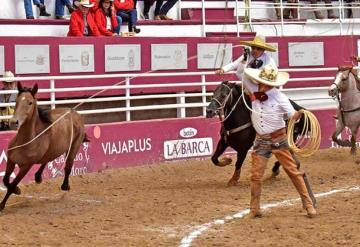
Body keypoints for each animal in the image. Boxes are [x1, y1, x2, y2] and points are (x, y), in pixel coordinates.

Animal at [0, 82, 89, 210]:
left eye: (30, 102)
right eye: (16, 101)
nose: (14, 122)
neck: (26, 141)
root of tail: (74, 113)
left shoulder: (26, 166)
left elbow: (12, 184)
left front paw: (6, 201)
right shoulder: (11, 161)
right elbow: (6, 180)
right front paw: (16, 190)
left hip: (74, 146)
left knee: (68, 166)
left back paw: (65, 185)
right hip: (55, 148)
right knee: (48, 159)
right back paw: (38, 176)